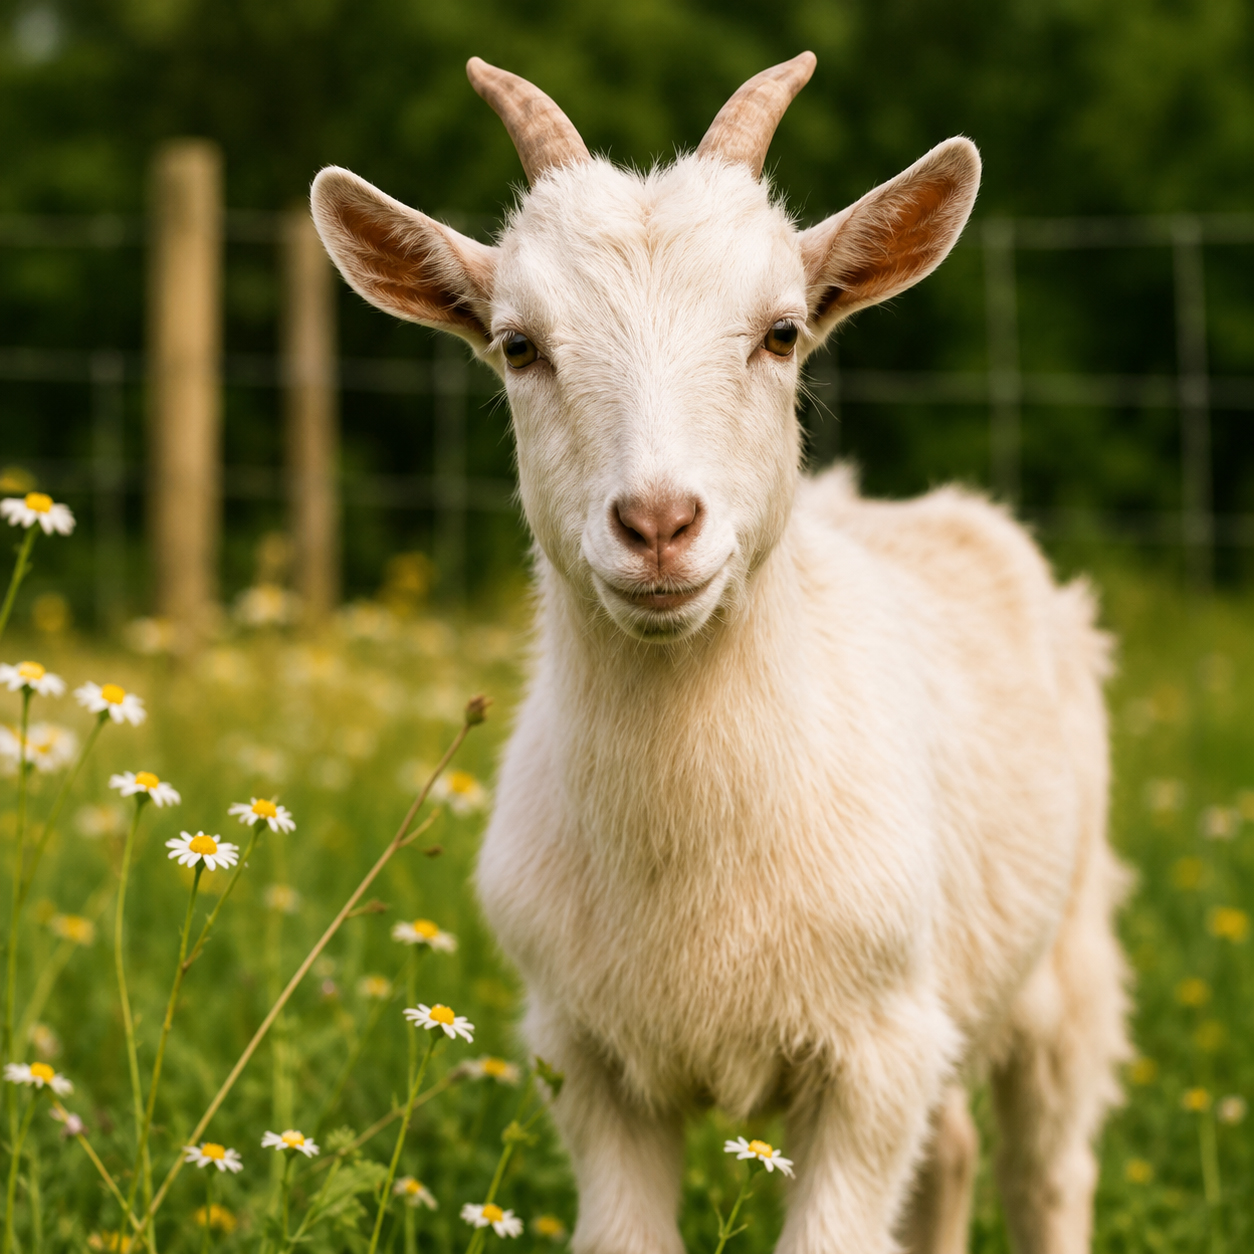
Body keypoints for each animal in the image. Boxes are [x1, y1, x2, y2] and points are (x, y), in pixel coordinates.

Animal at [311, 53, 1130, 1254]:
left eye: (781, 332)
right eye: (518, 345)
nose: (658, 524)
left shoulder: (874, 1056)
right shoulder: (586, 1059)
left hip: (1064, 957)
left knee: (1050, 1168)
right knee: (954, 1154)